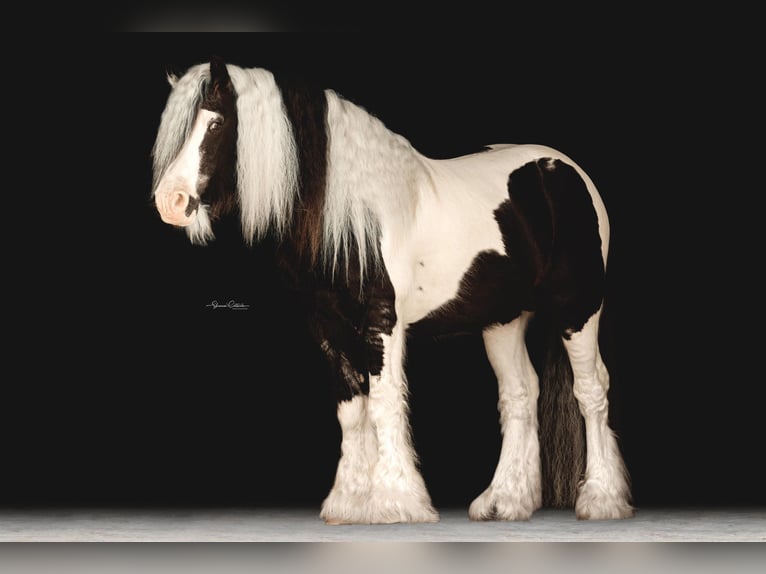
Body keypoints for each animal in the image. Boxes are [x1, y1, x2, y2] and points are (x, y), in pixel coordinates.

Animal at [150, 58, 636, 528]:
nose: (169, 201)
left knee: (591, 391)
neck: (353, 216)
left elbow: (384, 405)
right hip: (503, 318)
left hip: (579, 309)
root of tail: (565, 170)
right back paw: (504, 502)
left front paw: (396, 502)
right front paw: (348, 502)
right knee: (519, 394)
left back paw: (602, 500)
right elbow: (352, 412)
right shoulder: (327, 326)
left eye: (215, 123)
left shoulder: (382, 322)